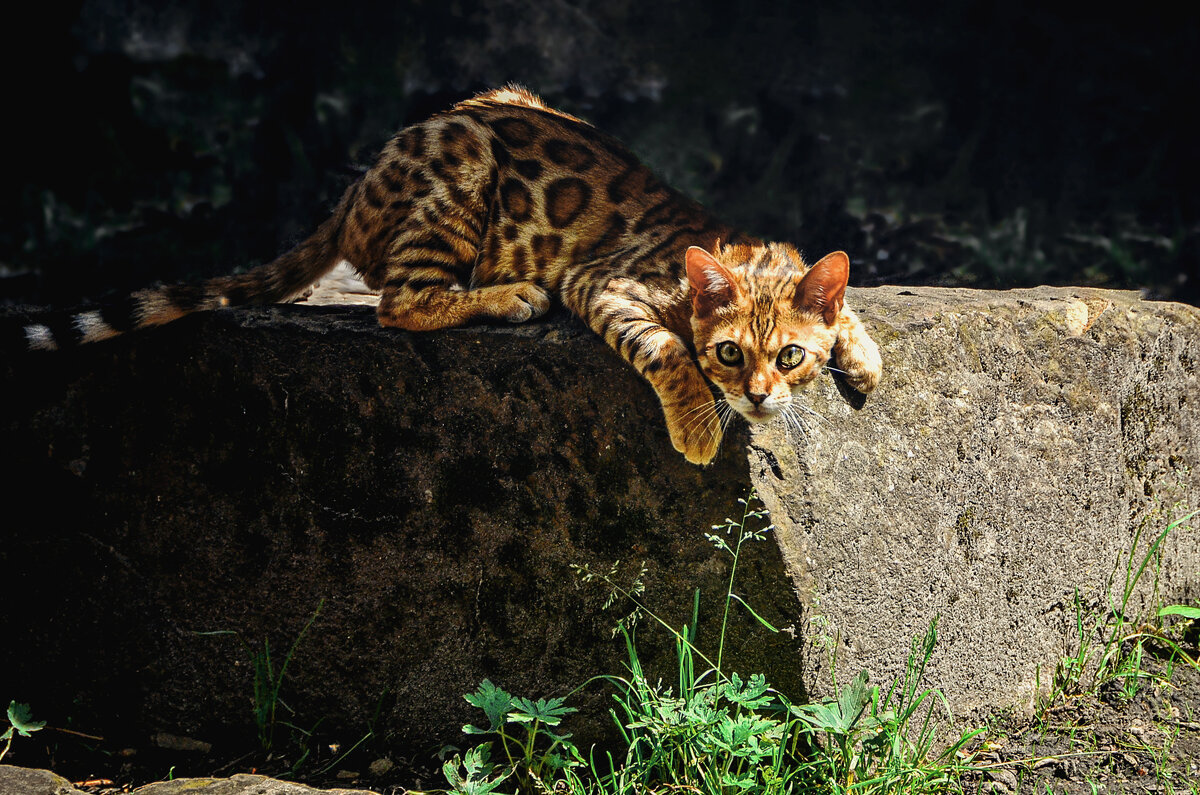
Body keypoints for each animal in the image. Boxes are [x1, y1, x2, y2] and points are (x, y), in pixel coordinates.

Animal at [11, 85, 883, 468]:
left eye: (790, 357)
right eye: (729, 353)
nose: (759, 398)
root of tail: (357, 184)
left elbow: (843, 306)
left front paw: (861, 352)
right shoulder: (606, 284)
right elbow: (666, 349)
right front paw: (700, 424)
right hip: (460, 168)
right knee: (397, 301)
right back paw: (508, 295)